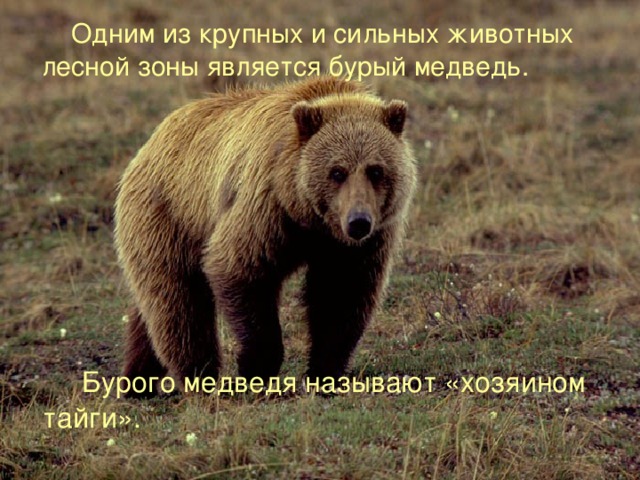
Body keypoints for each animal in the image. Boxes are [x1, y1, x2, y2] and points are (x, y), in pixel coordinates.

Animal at [114, 76, 416, 394]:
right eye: (337, 171)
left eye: (376, 170)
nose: (358, 222)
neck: (310, 221)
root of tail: (150, 143)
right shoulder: (266, 207)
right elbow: (239, 269)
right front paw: (255, 367)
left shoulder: (353, 245)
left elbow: (341, 294)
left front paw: (324, 373)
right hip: (169, 217)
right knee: (179, 303)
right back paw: (199, 376)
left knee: (151, 310)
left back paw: (138, 378)